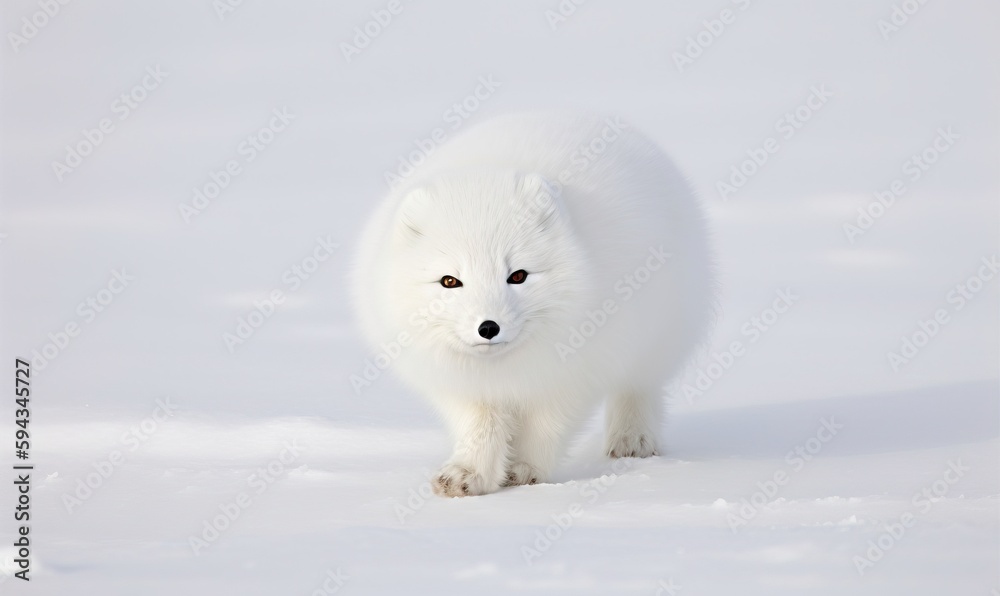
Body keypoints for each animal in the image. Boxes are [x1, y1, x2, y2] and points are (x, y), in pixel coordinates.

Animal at [352, 114, 712, 496]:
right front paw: (468, 474)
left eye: (518, 275)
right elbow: (480, 426)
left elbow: (545, 426)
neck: (504, 369)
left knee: (639, 387)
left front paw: (524, 471)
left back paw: (632, 441)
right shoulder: (459, 384)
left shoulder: (573, 375)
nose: (488, 327)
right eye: (450, 281)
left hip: (654, 337)